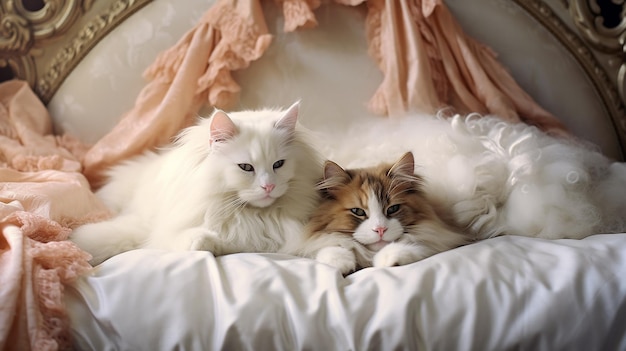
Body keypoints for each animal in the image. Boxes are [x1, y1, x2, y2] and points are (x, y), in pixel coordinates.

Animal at [298, 153, 468, 276]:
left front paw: (388, 260)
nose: (380, 229)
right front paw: (340, 263)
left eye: (393, 209)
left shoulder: (440, 236)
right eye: (358, 211)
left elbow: (414, 245)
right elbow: (332, 245)